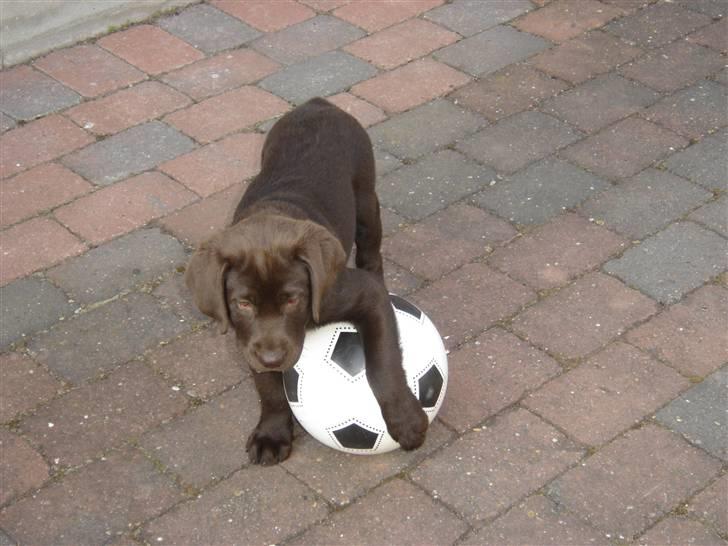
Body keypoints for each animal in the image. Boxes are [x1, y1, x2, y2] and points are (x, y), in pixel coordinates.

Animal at [185, 98, 430, 464]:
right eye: (242, 304)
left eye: (293, 299)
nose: (273, 358)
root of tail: (318, 104)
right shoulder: (248, 341)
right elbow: (269, 388)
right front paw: (272, 434)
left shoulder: (360, 295)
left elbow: (382, 360)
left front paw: (406, 420)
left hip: (365, 198)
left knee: (371, 251)